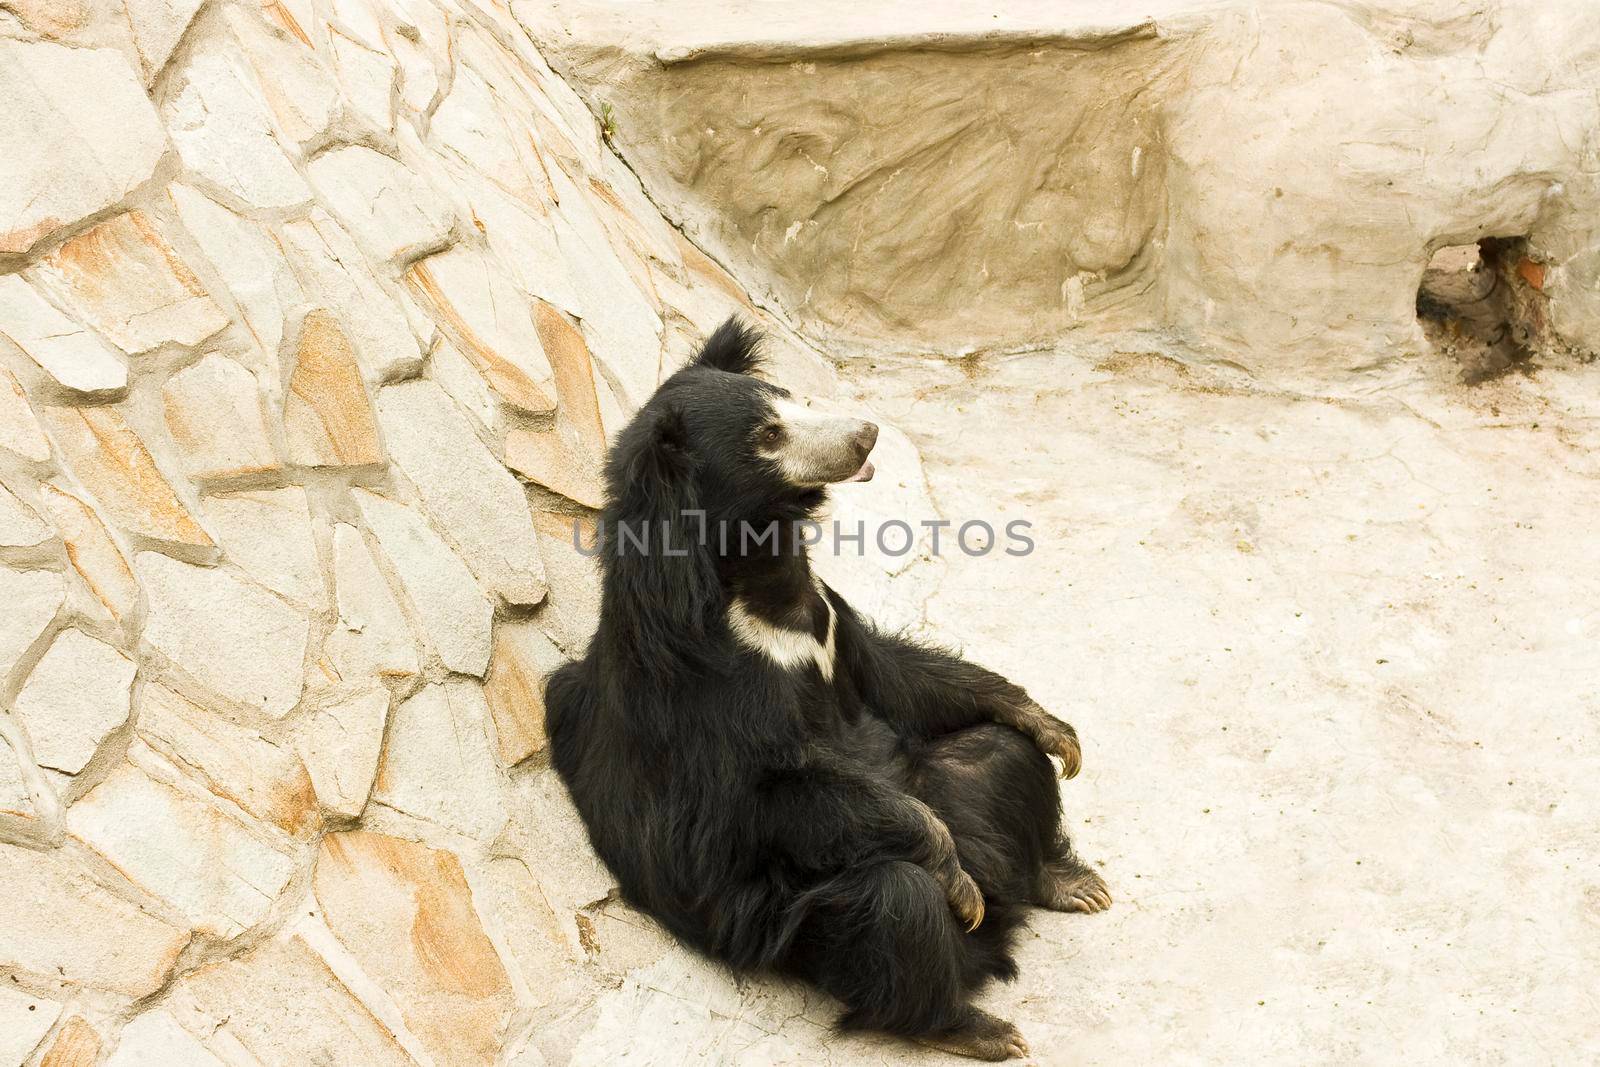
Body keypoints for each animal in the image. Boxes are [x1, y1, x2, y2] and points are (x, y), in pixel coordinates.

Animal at [544, 319, 1107, 1062]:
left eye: (787, 397)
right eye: (768, 435)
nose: (867, 434)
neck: (762, 578)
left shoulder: (829, 615)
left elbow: (897, 675)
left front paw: (1055, 730)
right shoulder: (703, 688)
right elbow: (769, 791)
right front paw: (953, 873)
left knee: (998, 757)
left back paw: (1066, 881)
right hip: (795, 924)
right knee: (896, 902)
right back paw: (975, 1017)